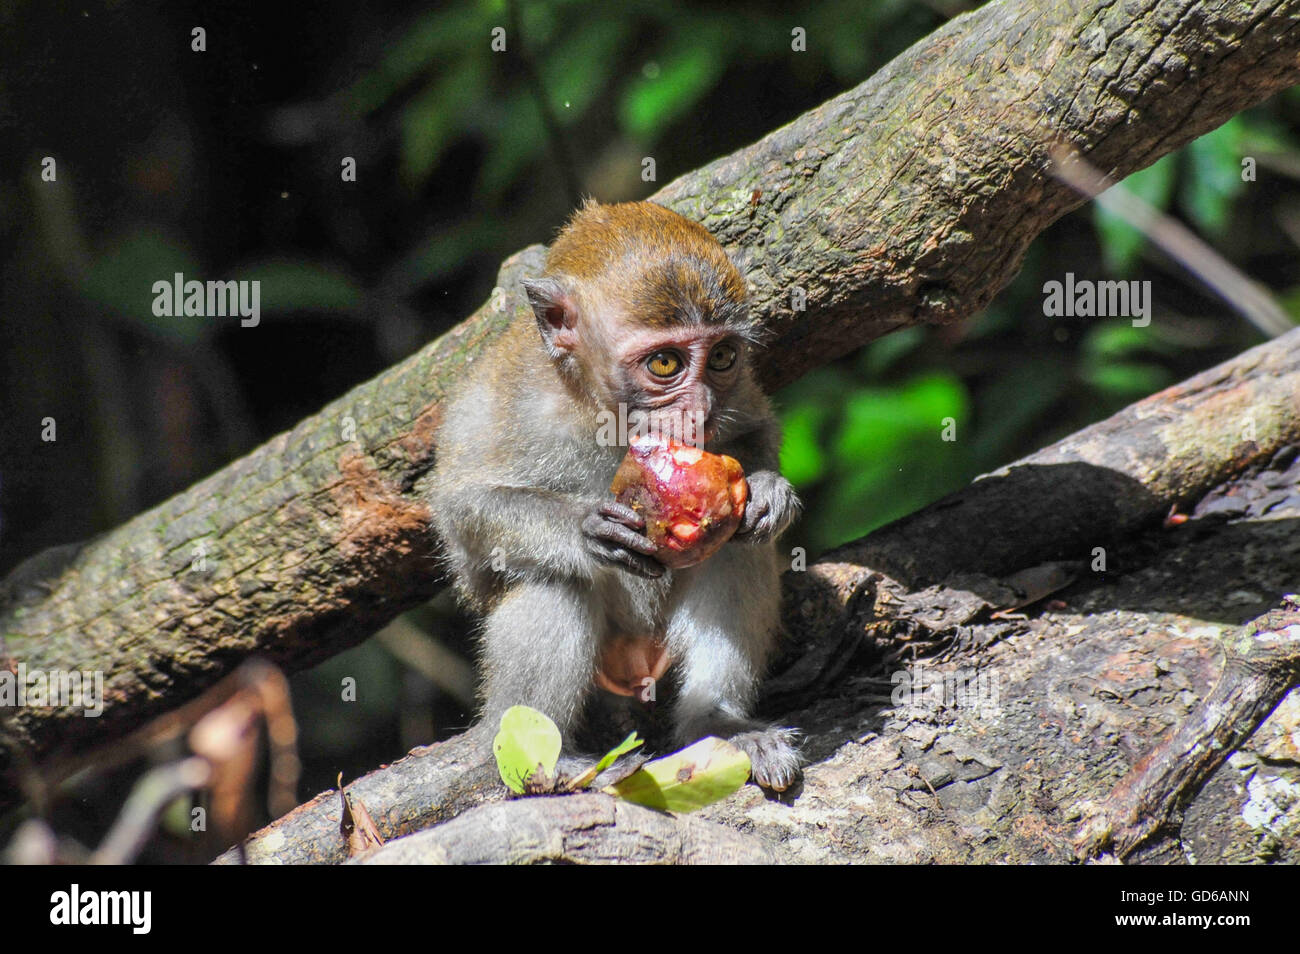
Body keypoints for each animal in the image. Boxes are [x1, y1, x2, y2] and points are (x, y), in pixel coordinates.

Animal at [431, 196, 800, 790]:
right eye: (665, 363)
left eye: (722, 357)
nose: (699, 413)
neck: (599, 408)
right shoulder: (499, 397)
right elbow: (462, 512)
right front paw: (587, 529)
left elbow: (753, 432)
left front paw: (769, 490)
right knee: (553, 577)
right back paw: (545, 759)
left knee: (737, 548)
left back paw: (716, 719)